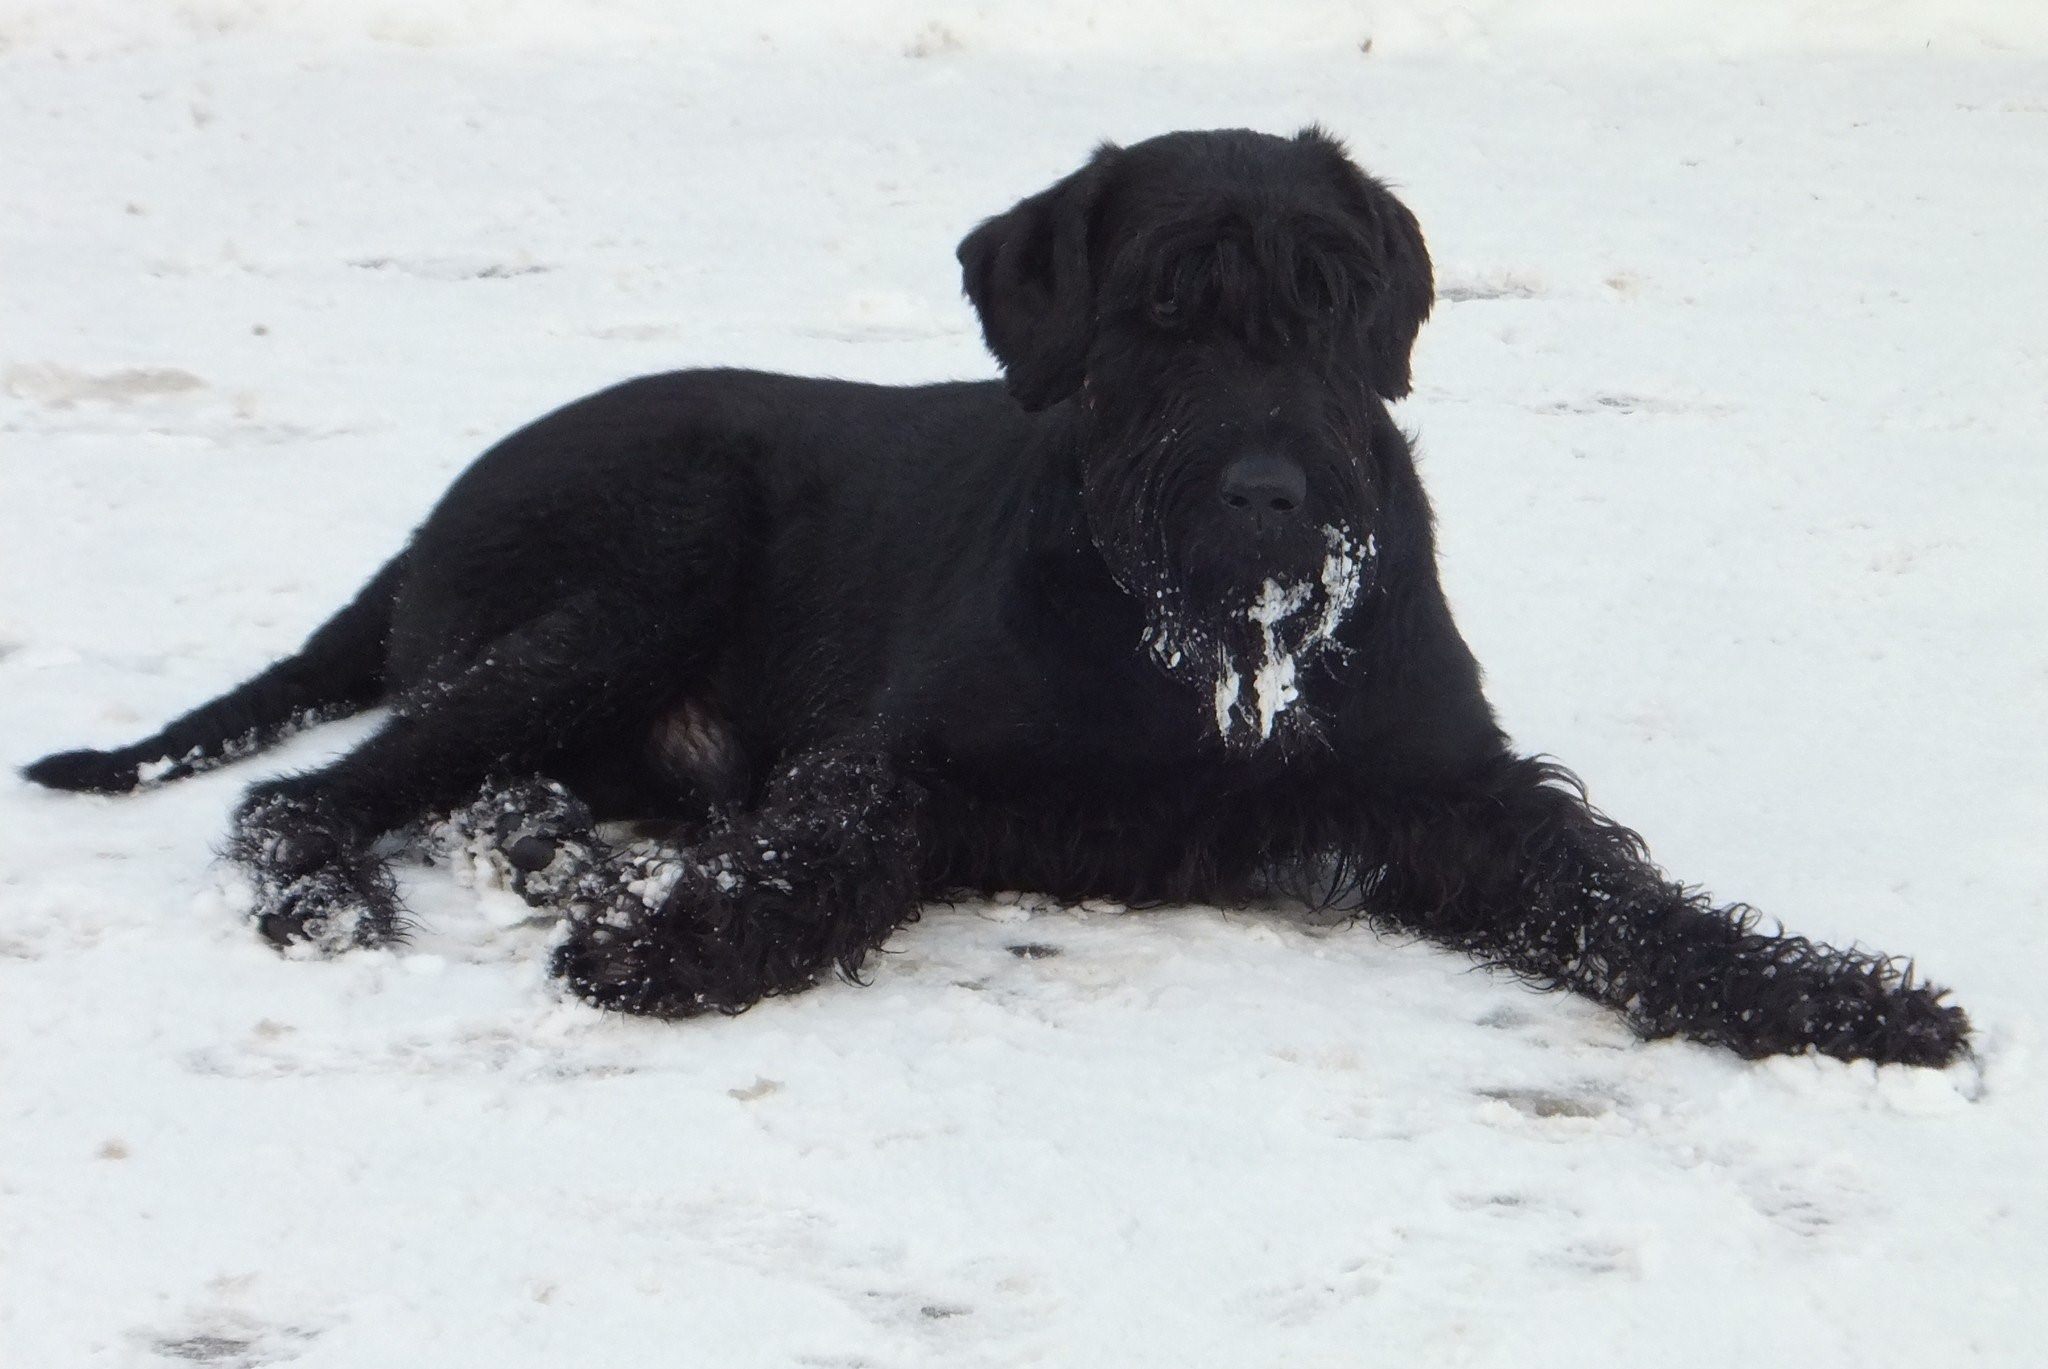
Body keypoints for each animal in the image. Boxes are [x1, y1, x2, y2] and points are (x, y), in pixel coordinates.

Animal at [19, 128, 1966, 1065]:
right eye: (1161, 306)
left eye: (1336, 297)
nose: (1271, 495)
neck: (1189, 663)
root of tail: (425, 525)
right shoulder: (910, 757)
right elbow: (825, 839)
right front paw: (680, 943)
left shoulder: (1450, 790)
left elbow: (1618, 896)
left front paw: (1837, 1000)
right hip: (648, 549)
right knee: (326, 790)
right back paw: (366, 897)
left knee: (486, 785)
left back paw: (586, 862)